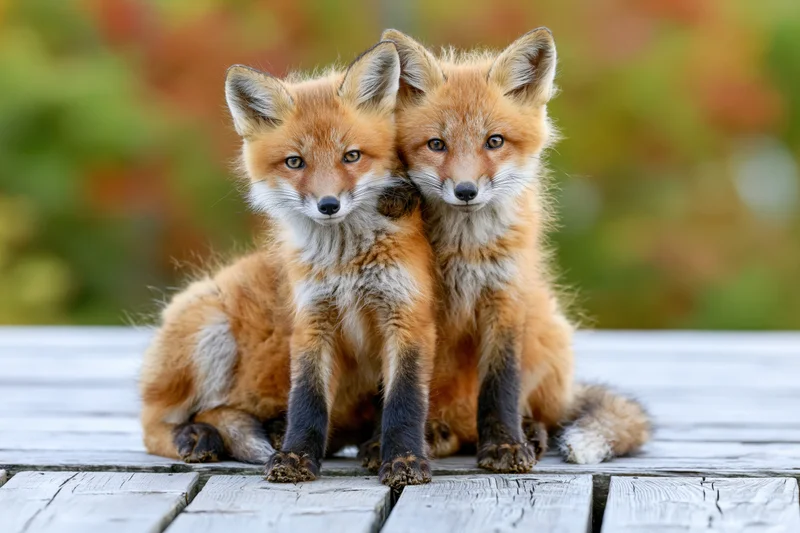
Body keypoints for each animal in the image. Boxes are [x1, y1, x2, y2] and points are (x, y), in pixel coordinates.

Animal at [139, 41, 437, 488]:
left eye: (351, 156)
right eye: (295, 162)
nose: (328, 205)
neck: (346, 263)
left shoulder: (408, 317)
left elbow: (405, 401)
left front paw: (403, 459)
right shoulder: (311, 321)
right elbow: (307, 400)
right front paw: (295, 457)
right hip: (209, 331)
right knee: (157, 423)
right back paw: (197, 436)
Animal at [381, 28, 652, 470]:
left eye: (494, 141)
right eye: (436, 144)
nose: (466, 191)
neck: (466, 250)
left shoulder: (505, 299)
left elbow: (501, 388)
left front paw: (505, 445)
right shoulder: (409, 299)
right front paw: (382, 446)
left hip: (548, 331)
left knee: (543, 414)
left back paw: (529, 432)